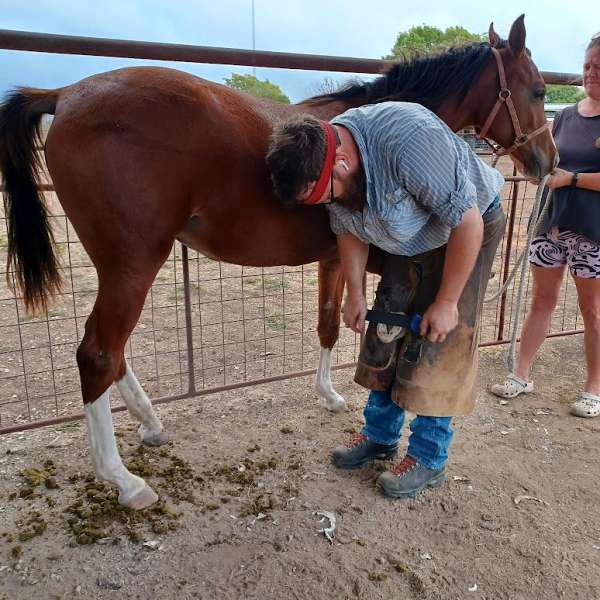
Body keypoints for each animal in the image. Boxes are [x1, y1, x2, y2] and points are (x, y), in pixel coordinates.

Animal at [0, 16, 556, 508]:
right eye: (537, 91)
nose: (547, 161)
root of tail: (66, 93)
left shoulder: (336, 260)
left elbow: (331, 324)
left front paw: (329, 395)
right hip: (133, 265)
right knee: (98, 353)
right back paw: (124, 480)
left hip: (119, 267)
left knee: (113, 352)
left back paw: (150, 423)